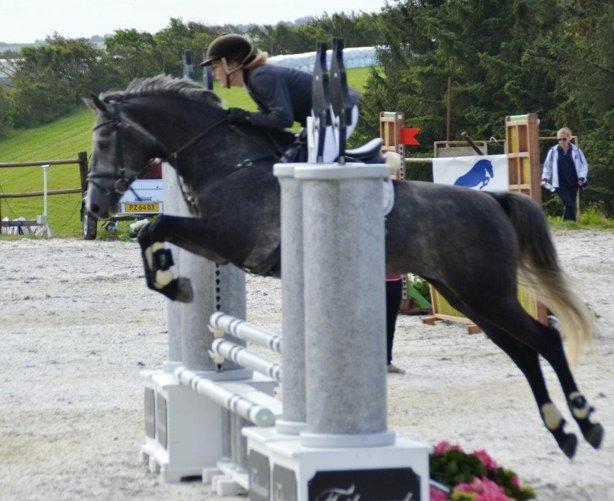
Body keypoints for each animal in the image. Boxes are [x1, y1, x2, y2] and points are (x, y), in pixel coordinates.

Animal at [84, 75, 604, 458]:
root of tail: (494, 201)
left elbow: (154, 226)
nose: (95, 205)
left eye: (106, 138)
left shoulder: (229, 239)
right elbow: (150, 231)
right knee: (523, 353)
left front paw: (175, 286)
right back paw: (562, 432)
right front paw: (174, 283)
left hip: (486, 293)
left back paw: (585, 423)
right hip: (468, 297)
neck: (230, 161)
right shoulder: (216, 246)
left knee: (545, 340)